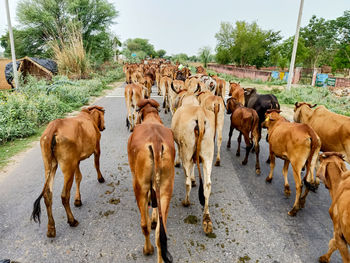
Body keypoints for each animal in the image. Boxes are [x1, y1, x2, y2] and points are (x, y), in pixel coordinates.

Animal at [31, 105, 105, 239]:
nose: (103, 127)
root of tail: (54, 126)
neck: (89, 117)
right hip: (68, 166)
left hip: (50, 165)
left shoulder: (76, 161)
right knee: (64, 195)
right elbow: (96, 165)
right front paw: (100, 178)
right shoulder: (96, 148)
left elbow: (78, 177)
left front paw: (78, 200)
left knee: (47, 194)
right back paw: (72, 220)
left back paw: (51, 228)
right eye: (103, 114)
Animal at [127, 99, 174, 263]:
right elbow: (154, 201)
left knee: (144, 225)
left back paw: (147, 249)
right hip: (166, 187)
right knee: (160, 232)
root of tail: (156, 141)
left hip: (139, 186)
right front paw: (154, 217)